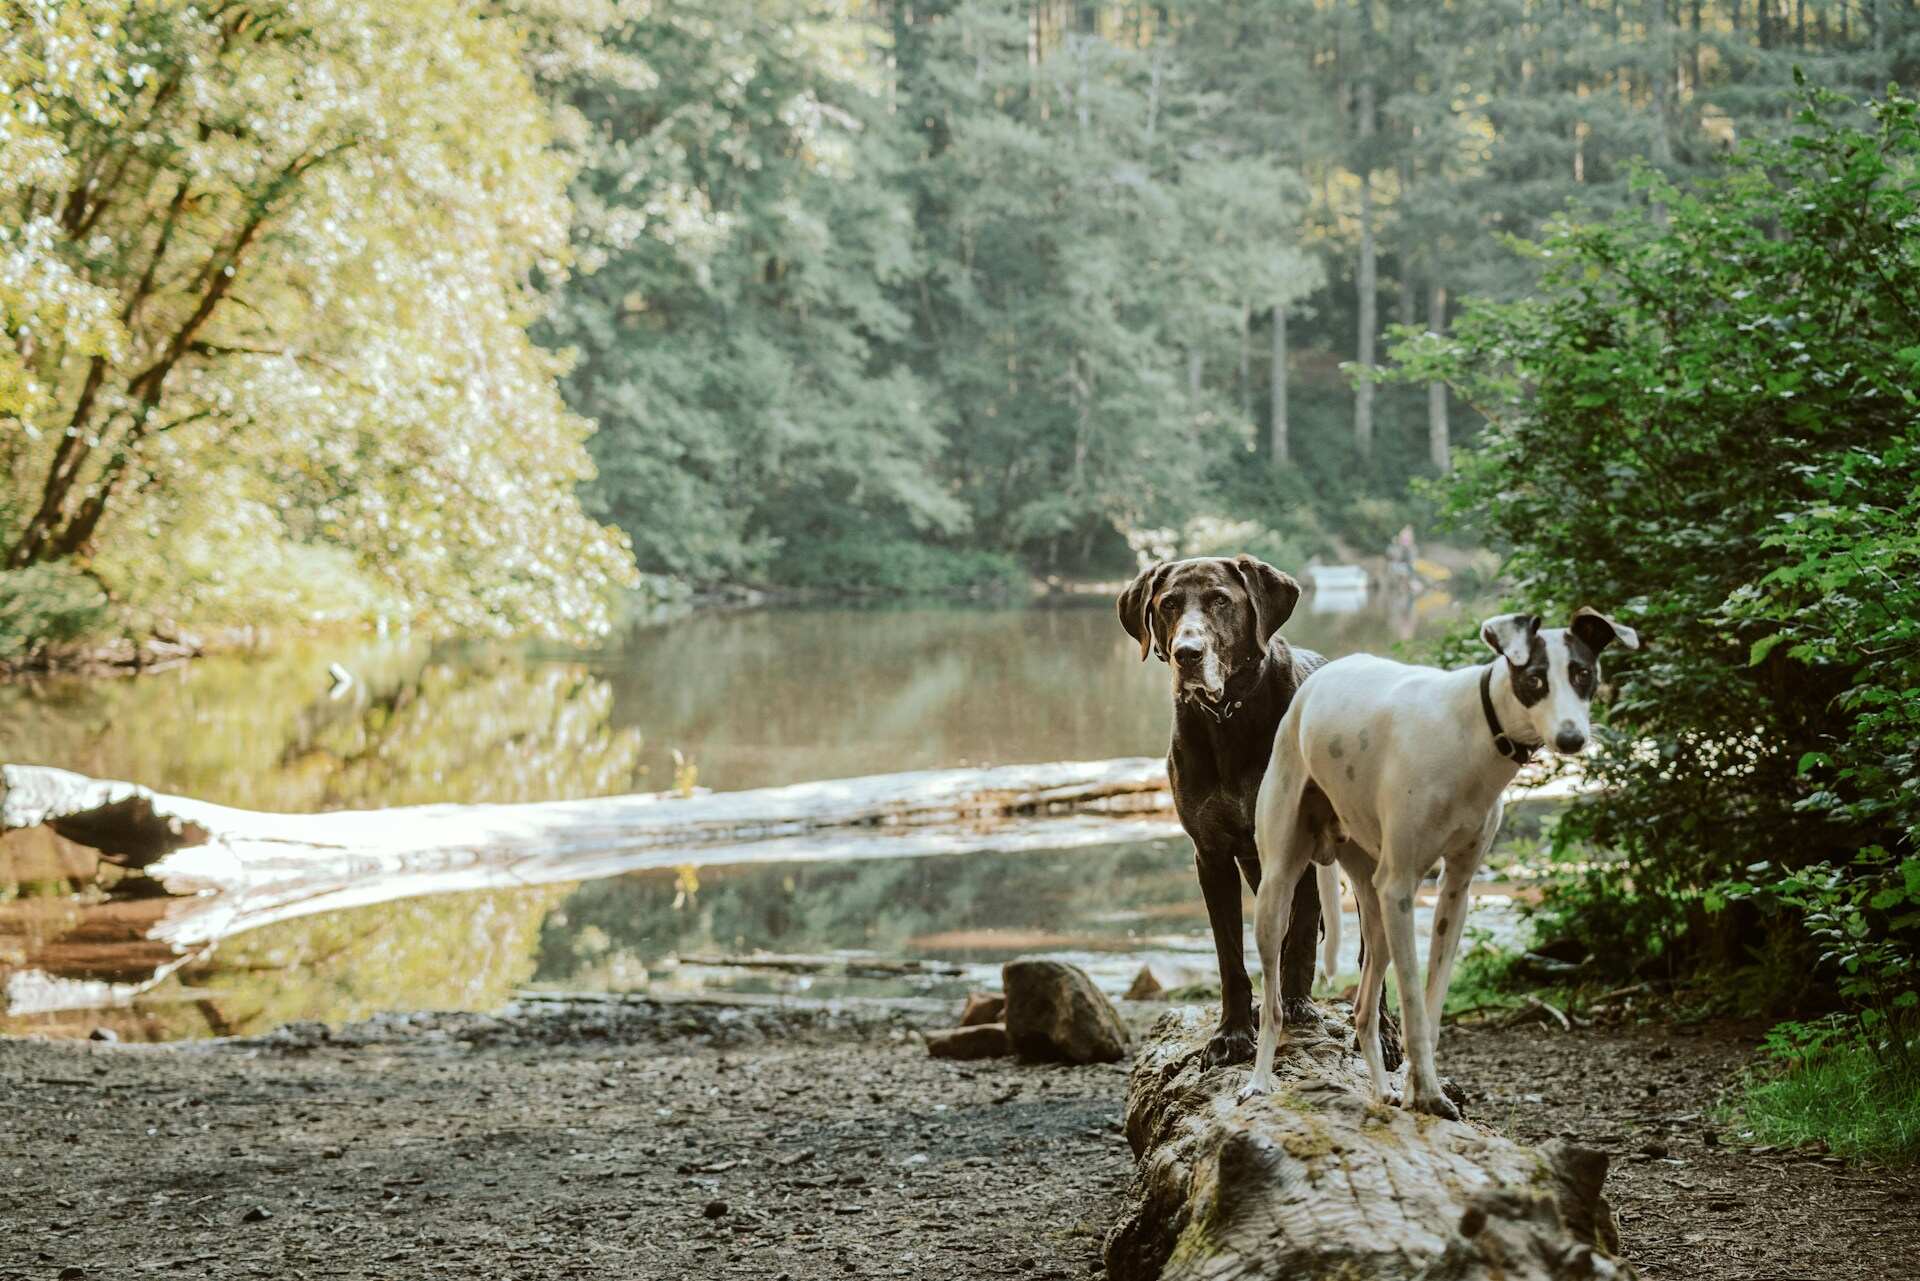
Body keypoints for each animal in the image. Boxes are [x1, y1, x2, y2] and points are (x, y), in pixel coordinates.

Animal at [1121, 556, 1328, 1067]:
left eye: (1220, 600)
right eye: (1168, 604)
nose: (1187, 653)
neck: (1230, 717)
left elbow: (1299, 935)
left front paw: (1295, 1006)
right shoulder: (1211, 855)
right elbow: (1230, 955)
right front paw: (1233, 1033)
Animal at [1244, 606, 1635, 1113]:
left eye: (1583, 673)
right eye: (1533, 679)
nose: (1571, 738)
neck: (1473, 733)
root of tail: (1315, 681)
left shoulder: (1455, 890)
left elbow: (1430, 1009)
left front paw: (1419, 1090)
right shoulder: (1402, 887)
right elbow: (1412, 1001)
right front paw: (1428, 1094)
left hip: (1375, 910)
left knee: (1363, 1009)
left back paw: (1382, 1090)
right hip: (1279, 891)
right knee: (1272, 1004)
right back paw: (1259, 1082)